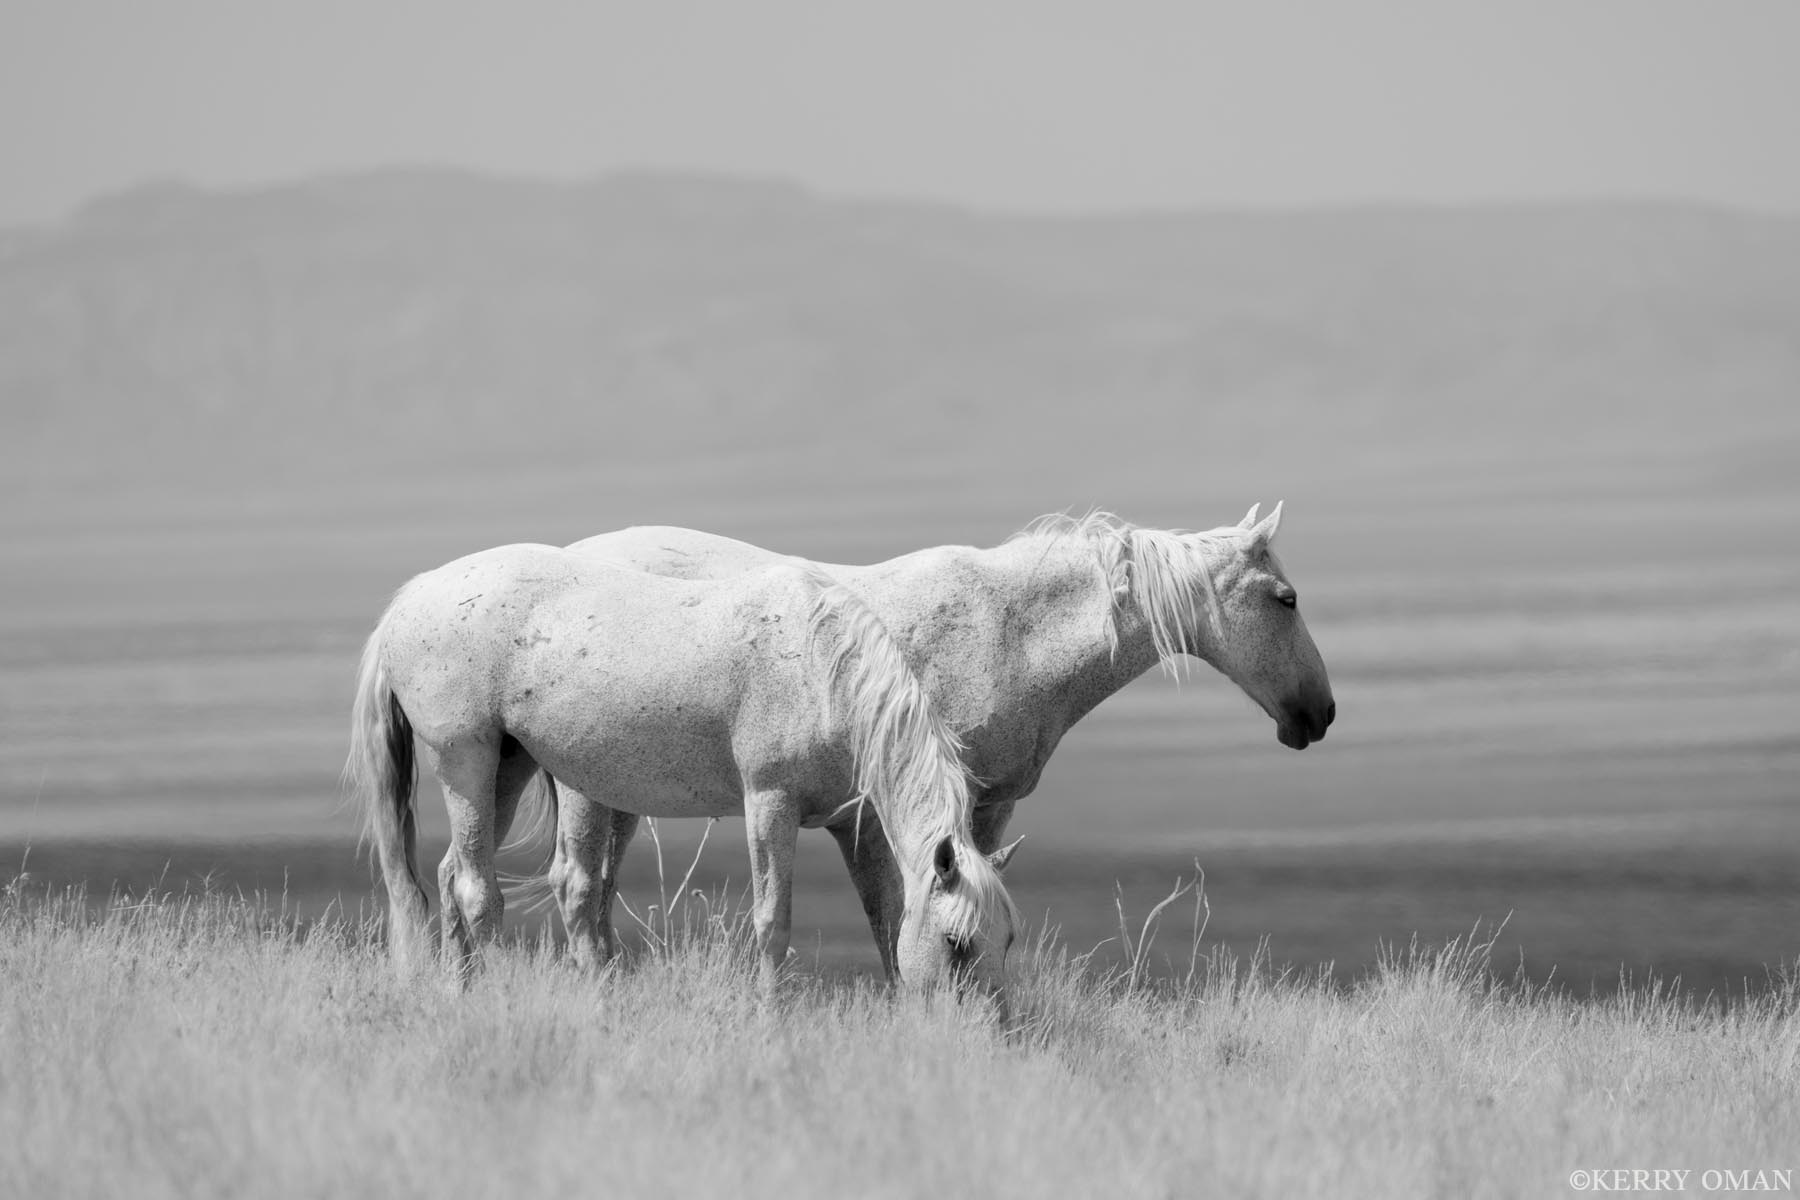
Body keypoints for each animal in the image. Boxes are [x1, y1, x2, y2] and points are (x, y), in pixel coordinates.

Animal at [344, 545, 1020, 999]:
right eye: (958, 944)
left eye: (1007, 940)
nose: (985, 1037)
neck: (821, 666)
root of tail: (413, 595)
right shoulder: (769, 801)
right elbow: (773, 922)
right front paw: (772, 1019)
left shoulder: (853, 824)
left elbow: (885, 913)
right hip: (466, 761)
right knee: (477, 891)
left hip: (506, 769)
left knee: (452, 874)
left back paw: (460, 994)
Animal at [559, 503, 1334, 977]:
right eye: (1286, 599)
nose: (1320, 713)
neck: (1012, 635)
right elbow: (911, 914)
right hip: (584, 788)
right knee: (577, 886)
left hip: (619, 791)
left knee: (598, 897)